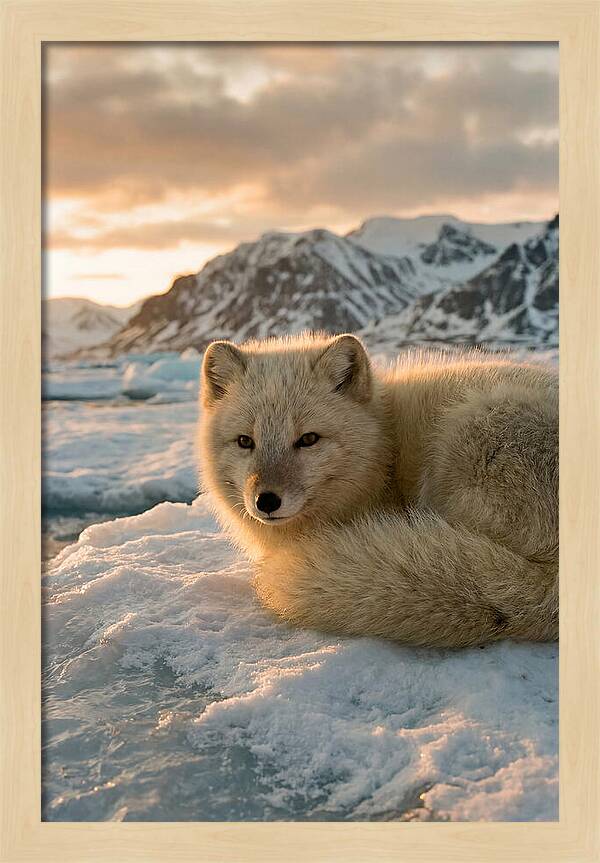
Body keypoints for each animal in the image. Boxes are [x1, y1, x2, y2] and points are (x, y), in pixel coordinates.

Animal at [198, 332, 558, 648]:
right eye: (245, 441)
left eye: (308, 439)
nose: (266, 501)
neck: (384, 449)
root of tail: (551, 586)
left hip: (466, 435)